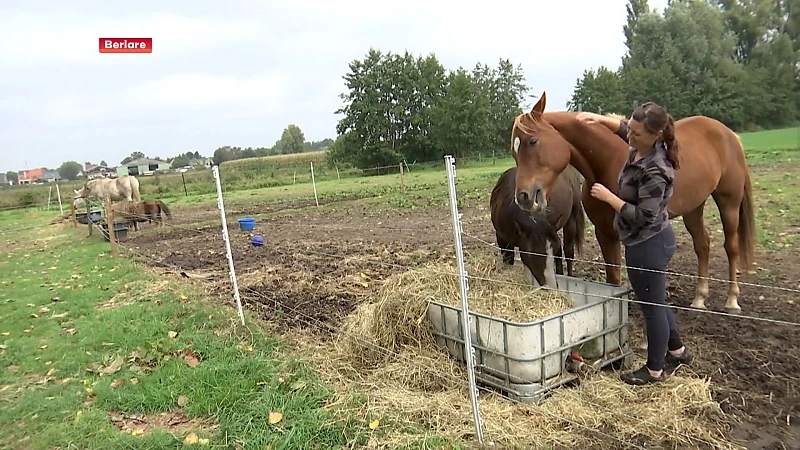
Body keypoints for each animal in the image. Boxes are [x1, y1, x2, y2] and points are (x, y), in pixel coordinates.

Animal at [510, 89, 752, 312]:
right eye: (514, 152)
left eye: (533, 141)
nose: (523, 197)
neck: (608, 160)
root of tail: (728, 133)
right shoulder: (605, 234)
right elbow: (613, 279)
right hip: (694, 207)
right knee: (702, 244)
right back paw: (699, 298)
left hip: (728, 202)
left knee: (731, 246)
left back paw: (732, 300)